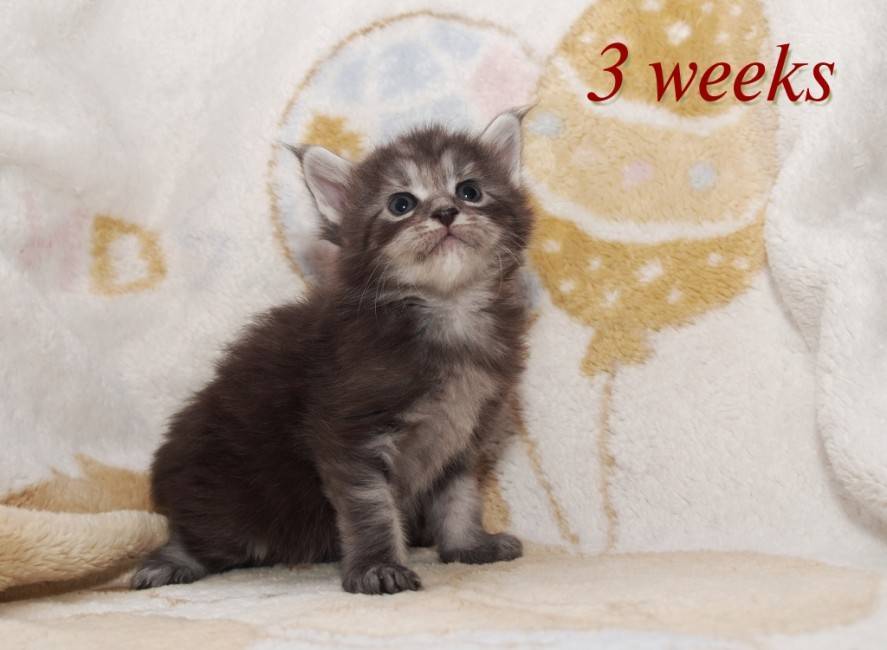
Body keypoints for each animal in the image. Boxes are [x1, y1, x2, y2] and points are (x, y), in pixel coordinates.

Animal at [132, 108, 534, 595]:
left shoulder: (460, 434)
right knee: (200, 535)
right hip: (235, 495)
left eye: (469, 190)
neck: (447, 309)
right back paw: (171, 561)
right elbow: (370, 509)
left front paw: (467, 546)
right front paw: (378, 568)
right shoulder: (350, 428)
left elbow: (460, 497)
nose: (445, 213)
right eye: (401, 204)